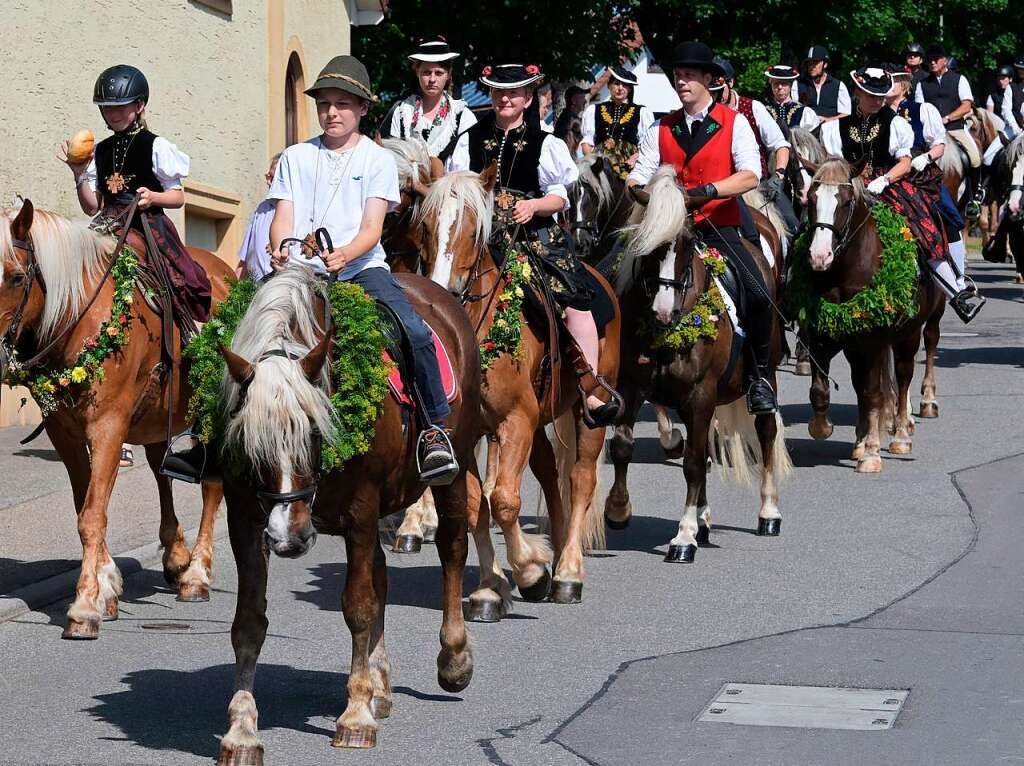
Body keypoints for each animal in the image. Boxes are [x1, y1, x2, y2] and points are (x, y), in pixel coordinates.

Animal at [1, 200, 230, 639]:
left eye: (17, 277)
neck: (80, 315)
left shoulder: (108, 426)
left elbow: (92, 516)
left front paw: (85, 606)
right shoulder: (64, 433)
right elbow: (85, 505)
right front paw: (107, 584)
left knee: (212, 485)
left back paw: (196, 573)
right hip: (157, 417)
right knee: (161, 472)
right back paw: (176, 555)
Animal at [216, 266, 479, 757]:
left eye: (315, 433)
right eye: (252, 444)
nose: (290, 537)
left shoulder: (360, 509)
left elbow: (358, 605)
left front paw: (356, 715)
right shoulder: (244, 518)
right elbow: (249, 622)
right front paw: (242, 727)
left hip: (457, 467)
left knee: (453, 549)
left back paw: (454, 660)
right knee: (381, 574)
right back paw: (380, 685)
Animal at [411, 164, 618, 614]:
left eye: (474, 231)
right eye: (426, 228)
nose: (442, 293)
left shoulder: (514, 421)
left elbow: (505, 500)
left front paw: (530, 571)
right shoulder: (467, 435)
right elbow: (477, 505)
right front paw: (491, 587)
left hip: (589, 412)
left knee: (580, 480)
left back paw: (568, 572)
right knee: (549, 475)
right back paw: (556, 550)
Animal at [606, 167, 790, 561]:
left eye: (688, 242)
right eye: (647, 244)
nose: (663, 312)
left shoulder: (700, 394)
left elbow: (691, 462)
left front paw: (684, 536)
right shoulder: (632, 386)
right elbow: (623, 445)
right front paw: (618, 509)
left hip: (764, 373)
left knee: (766, 431)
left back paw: (768, 512)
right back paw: (706, 520)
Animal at [802, 158, 946, 469]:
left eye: (846, 202)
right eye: (811, 199)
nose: (819, 257)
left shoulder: (872, 340)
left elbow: (874, 393)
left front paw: (871, 452)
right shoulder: (823, 334)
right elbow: (822, 390)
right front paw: (825, 428)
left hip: (911, 332)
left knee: (905, 374)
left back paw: (902, 433)